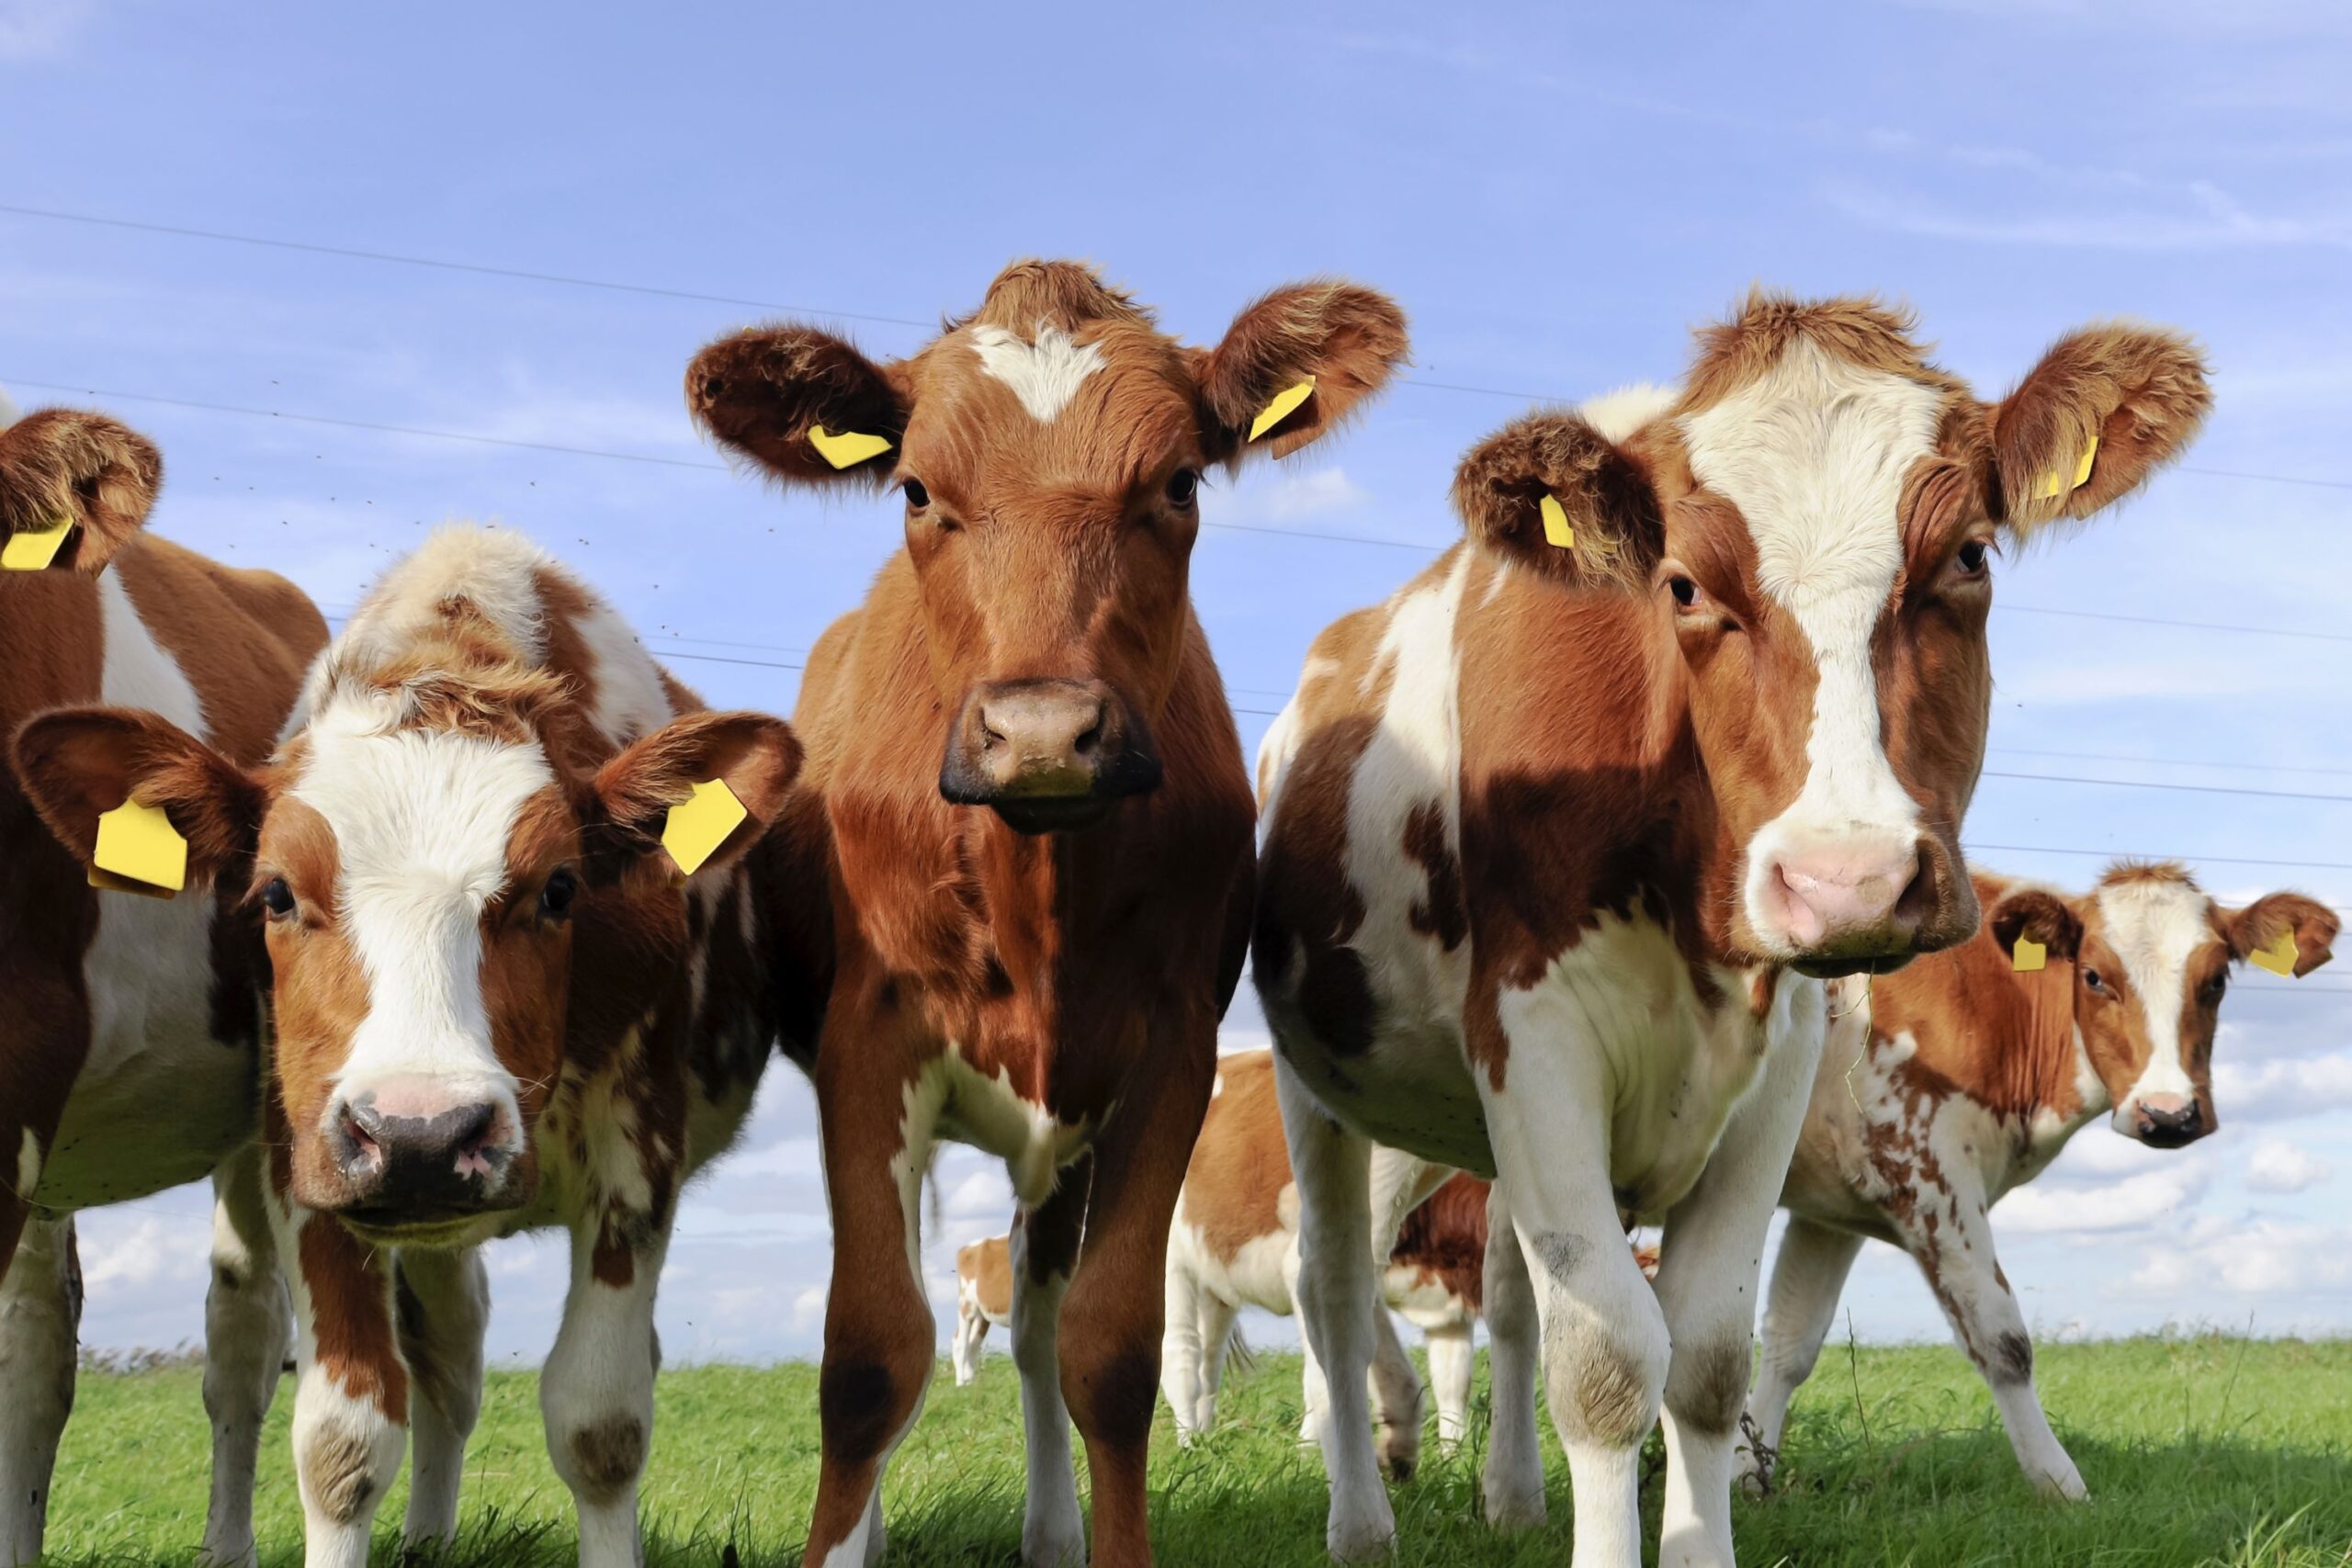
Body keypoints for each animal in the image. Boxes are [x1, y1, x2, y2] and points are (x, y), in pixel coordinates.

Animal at [14, 525, 801, 1568]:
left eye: (559, 888)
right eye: (274, 892)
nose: (422, 1133)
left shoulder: (637, 1155)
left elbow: (600, 1425)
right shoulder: (309, 1156)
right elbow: (342, 1442)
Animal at [953, 1233, 1013, 1387]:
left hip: (982, 1314)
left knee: (973, 1343)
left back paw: (970, 1382)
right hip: (967, 1304)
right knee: (960, 1343)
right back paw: (960, 1383)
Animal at [1252, 292, 2210, 1566]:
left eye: (1967, 554)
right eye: (1681, 585)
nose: (1849, 883)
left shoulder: (1779, 1069)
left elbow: (1704, 1359)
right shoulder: (1534, 1039)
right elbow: (1610, 1362)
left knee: (1505, 1298)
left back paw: (1510, 1496)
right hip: (1340, 1097)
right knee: (1334, 1287)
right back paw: (1360, 1517)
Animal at [1747, 861, 2338, 1500]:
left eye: (2217, 981)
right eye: (2094, 976)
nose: (2168, 1114)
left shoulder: (1832, 1207)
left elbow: (1790, 1340)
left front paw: (1746, 1476)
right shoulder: (1925, 1166)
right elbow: (2002, 1339)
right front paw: (2062, 1487)